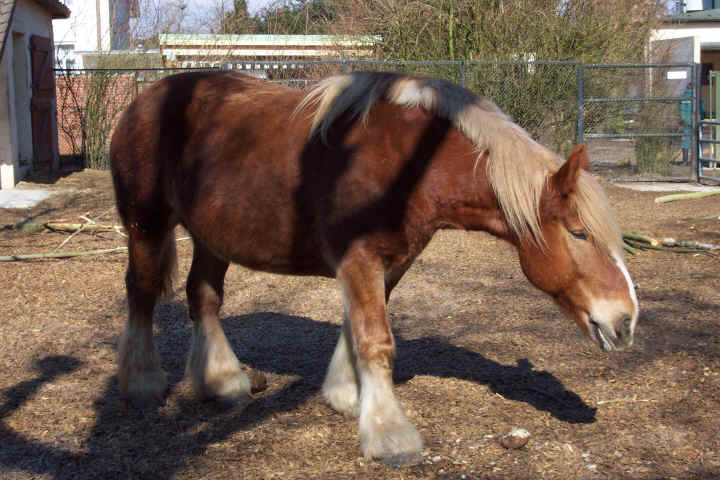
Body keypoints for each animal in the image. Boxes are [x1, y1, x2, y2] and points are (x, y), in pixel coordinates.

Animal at [109, 70, 638, 465]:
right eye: (579, 233)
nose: (625, 321)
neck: (411, 166)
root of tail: (143, 100)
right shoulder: (359, 258)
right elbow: (376, 339)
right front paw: (389, 434)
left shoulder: (390, 262)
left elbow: (357, 328)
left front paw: (347, 396)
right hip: (146, 224)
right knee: (141, 292)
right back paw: (142, 383)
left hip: (212, 236)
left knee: (204, 297)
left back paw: (223, 380)